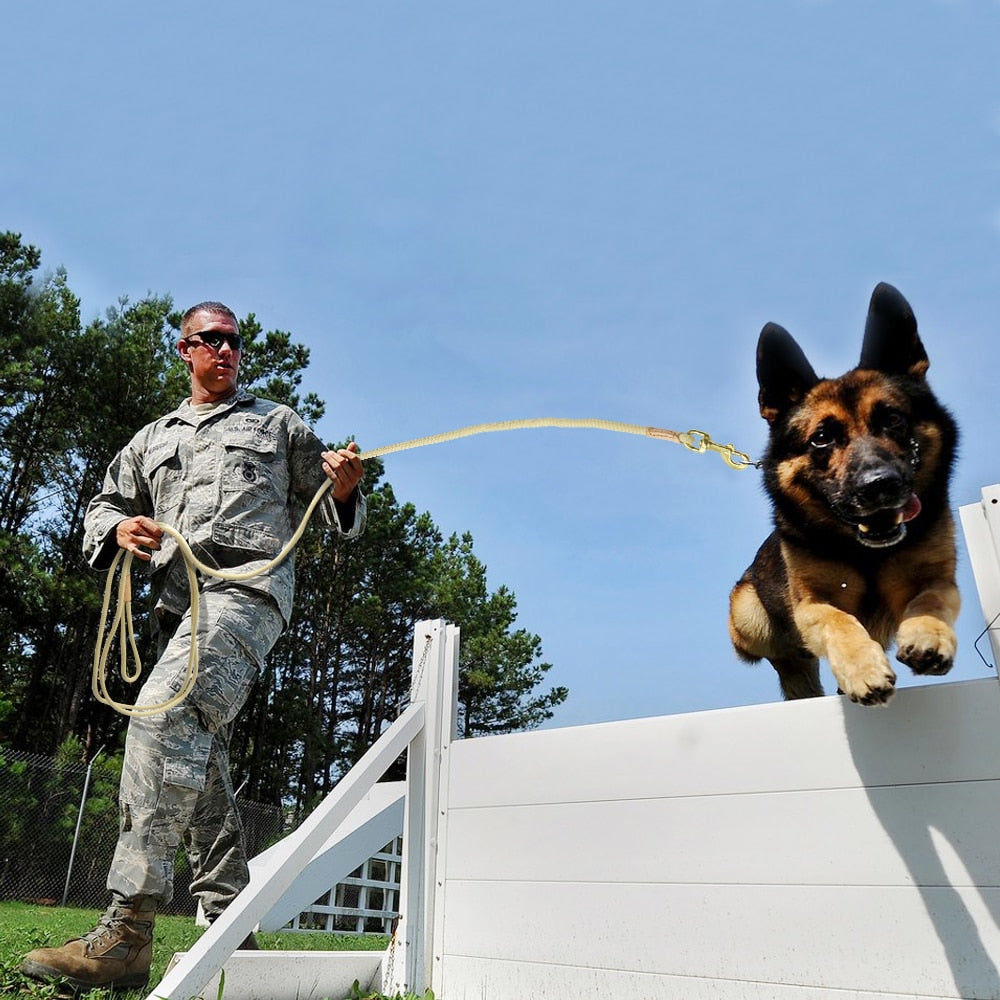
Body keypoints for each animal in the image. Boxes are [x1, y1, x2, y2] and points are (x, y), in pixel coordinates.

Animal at [732, 282, 956, 704]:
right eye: (821, 438)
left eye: (893, 419)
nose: (879, 485)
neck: (864, 553)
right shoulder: (813, 602)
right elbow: (839, 621)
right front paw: (862, 668)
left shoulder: (935, 578)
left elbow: (931, 599)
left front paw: (928, 634)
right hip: (747, 615)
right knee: (790, 660)